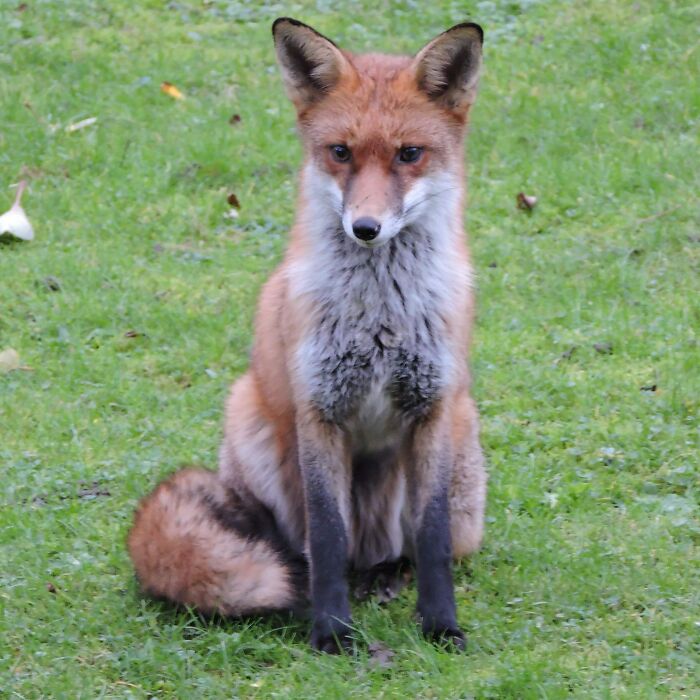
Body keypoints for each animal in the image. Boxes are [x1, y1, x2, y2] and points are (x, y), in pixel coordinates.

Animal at [128, 17, 487, 653]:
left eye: (409, 154)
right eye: (340, 152)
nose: (366, 227)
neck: (379, 322)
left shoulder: (432, 409)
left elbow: (433, 537)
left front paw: (441, 625)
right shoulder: (319, 410)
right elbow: (326, 534)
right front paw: (331, 632)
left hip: (463, 437)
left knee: (402, 550)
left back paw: (388, 575)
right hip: (249, 417)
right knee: (291, 546)